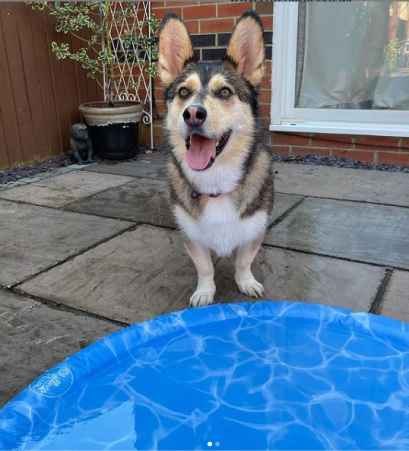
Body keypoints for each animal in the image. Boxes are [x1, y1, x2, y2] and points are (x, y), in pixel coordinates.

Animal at [158, 11, 272, 308]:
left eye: (225, 92)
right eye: (183, 92)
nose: (192, 114)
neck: (216, 181)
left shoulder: (254, 230)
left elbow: (243, 262)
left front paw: (246, 283)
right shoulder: (192, 236)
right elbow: (205, 267)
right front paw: (205, 292)